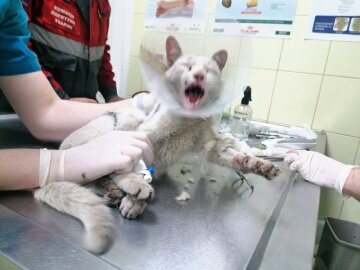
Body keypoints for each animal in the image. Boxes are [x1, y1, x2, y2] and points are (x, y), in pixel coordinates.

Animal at [33, 35, 282, 253]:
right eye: (187, 67)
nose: (199, 75)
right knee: (100, 169)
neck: (189, 120)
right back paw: (120, 190)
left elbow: (237, 158)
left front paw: (262, 166)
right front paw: (136, 196)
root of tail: (59, 151)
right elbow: (133, 168)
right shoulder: (144, 136)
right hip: (125, 120)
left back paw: (114, 192)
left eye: (209, 71)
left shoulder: (209, 147)